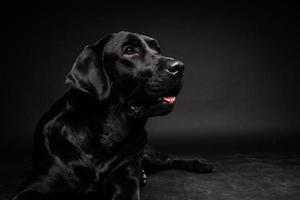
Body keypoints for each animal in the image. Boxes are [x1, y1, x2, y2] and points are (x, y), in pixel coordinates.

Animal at [12, 31, 213, 200]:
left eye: (157, 50)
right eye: (130, 50)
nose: (179, 67)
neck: (107, 134)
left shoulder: (126, 179)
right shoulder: (33, 187)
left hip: (147, 152)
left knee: (170, 159)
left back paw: (201, 163)